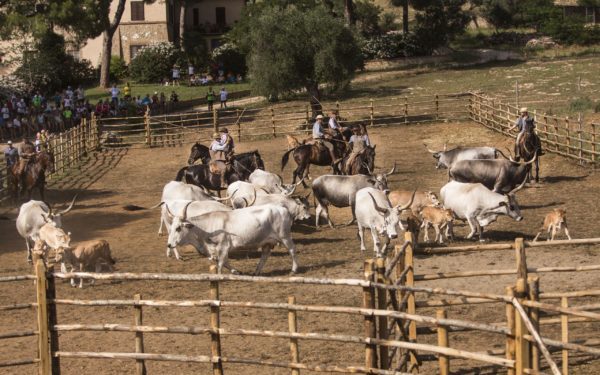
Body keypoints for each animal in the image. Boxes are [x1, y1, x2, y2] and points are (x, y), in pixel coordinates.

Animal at [165, 204, 298, 274]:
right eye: (171, 228)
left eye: (178, 228)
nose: (169, 245)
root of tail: (282, 208)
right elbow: (224, 262)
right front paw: (236, 271)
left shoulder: (223, 246)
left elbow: (220, 263)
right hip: (267, 242)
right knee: (265, 255)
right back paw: (256, 272)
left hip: (285, 236)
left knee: (292, 250)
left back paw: (294, 269)